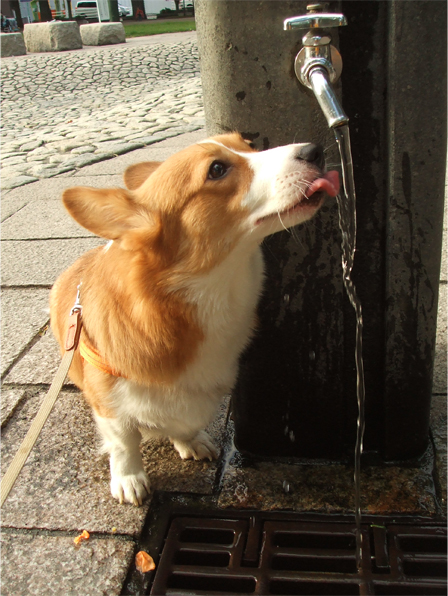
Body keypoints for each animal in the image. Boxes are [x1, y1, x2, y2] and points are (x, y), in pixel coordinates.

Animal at [50, 133, 339, 506]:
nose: (314, 151)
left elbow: (183, 423)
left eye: (248, 144)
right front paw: (129, 479)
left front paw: (189, 440)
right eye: (217, 169)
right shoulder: (108, 401)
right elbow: (123, 442)